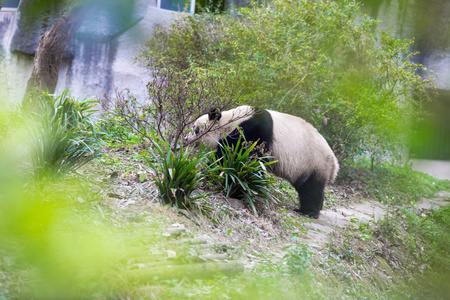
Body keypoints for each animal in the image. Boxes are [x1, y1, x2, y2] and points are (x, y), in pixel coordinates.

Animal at [186, 105, 338, 218]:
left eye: (196, 129)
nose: (186, 138)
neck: (231, 121)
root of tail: (334, 163)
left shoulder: (253, 131)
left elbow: (242, 158)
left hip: (314, 162)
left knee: (311, 188)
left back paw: (308, 211)